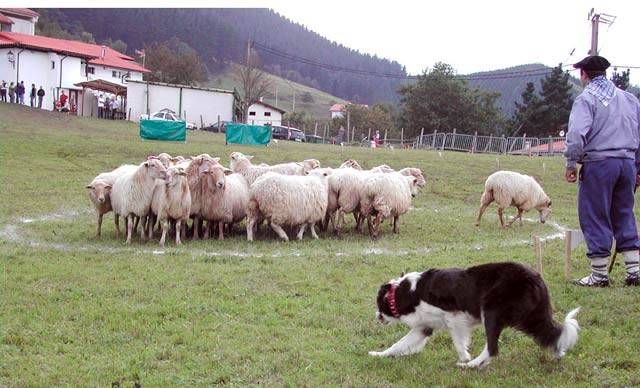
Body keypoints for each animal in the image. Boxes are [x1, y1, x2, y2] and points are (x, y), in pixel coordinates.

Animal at [368, 262, 584, 368]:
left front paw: (464, 358)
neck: (405, 292)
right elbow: (398, 345)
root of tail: (536, 277)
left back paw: (471, 365)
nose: (376, 316)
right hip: (530, 317)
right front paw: (379, 355)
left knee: (492, 348)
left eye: (378, 303)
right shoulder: (423, 327)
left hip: (491, 310)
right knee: (551, 333)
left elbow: (458, 341)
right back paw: (559, 353)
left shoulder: (454, 317)